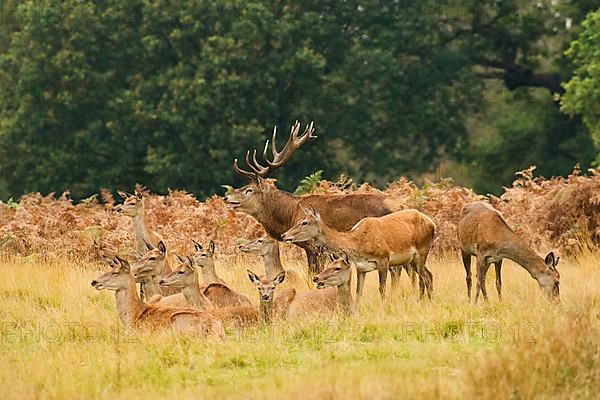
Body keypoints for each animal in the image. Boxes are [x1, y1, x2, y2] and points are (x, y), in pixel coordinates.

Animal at [284, 206, 434, 300]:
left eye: (305, 222)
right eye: (299, 220)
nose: (284, 235)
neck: (358, 243)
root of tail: (433, 224)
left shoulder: (383, 259)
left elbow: (382, 289)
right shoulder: (361, 268)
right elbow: (358, 292)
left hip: (422, 251)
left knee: (425, 278)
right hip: (412, 260)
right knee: (428, 276)